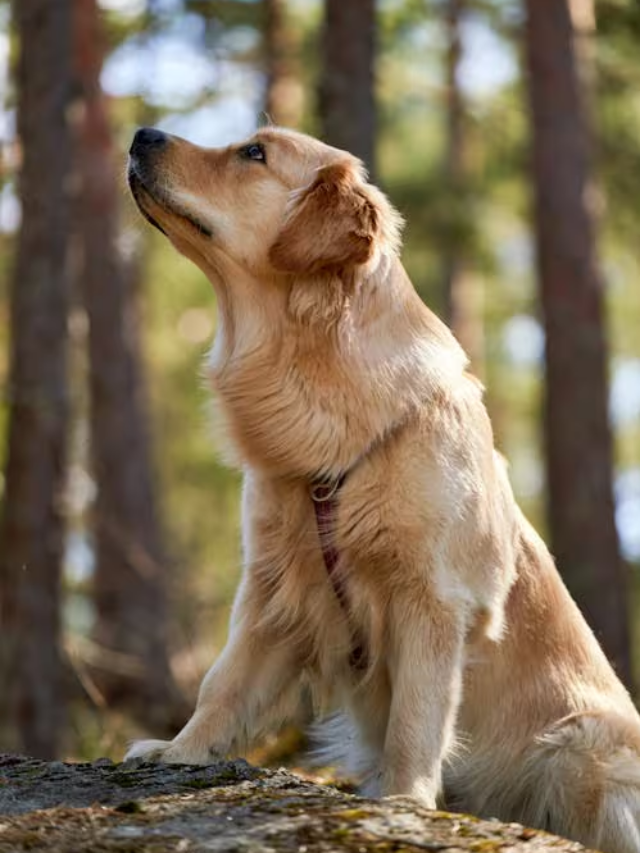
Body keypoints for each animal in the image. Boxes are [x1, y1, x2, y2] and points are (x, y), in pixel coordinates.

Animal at [124, 123, 640, 848]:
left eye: (254, 153)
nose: (141, 132)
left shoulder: (433, 599)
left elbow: (415, 719)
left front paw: (403, 803)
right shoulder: (274, 586)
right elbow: (222, 682)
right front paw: (179, 751)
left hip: (582, 747)